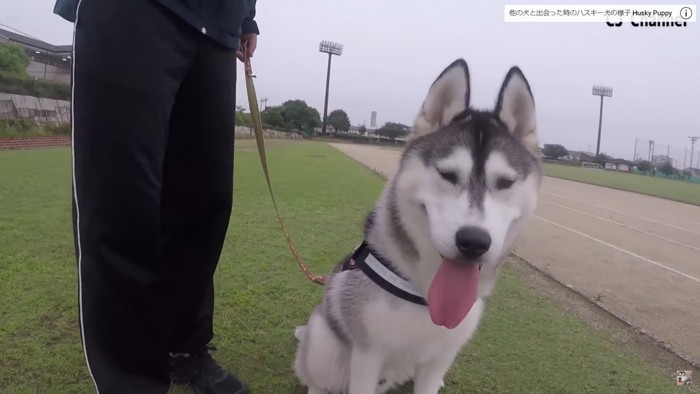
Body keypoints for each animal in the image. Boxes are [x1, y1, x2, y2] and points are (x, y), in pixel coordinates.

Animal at [292, 59, 544, 394]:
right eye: (447, 174)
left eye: (505, 182)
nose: (473, 241)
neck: (425, 293)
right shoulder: (367, 356)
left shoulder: (442, 355)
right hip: (322, 341)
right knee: (317, 377)